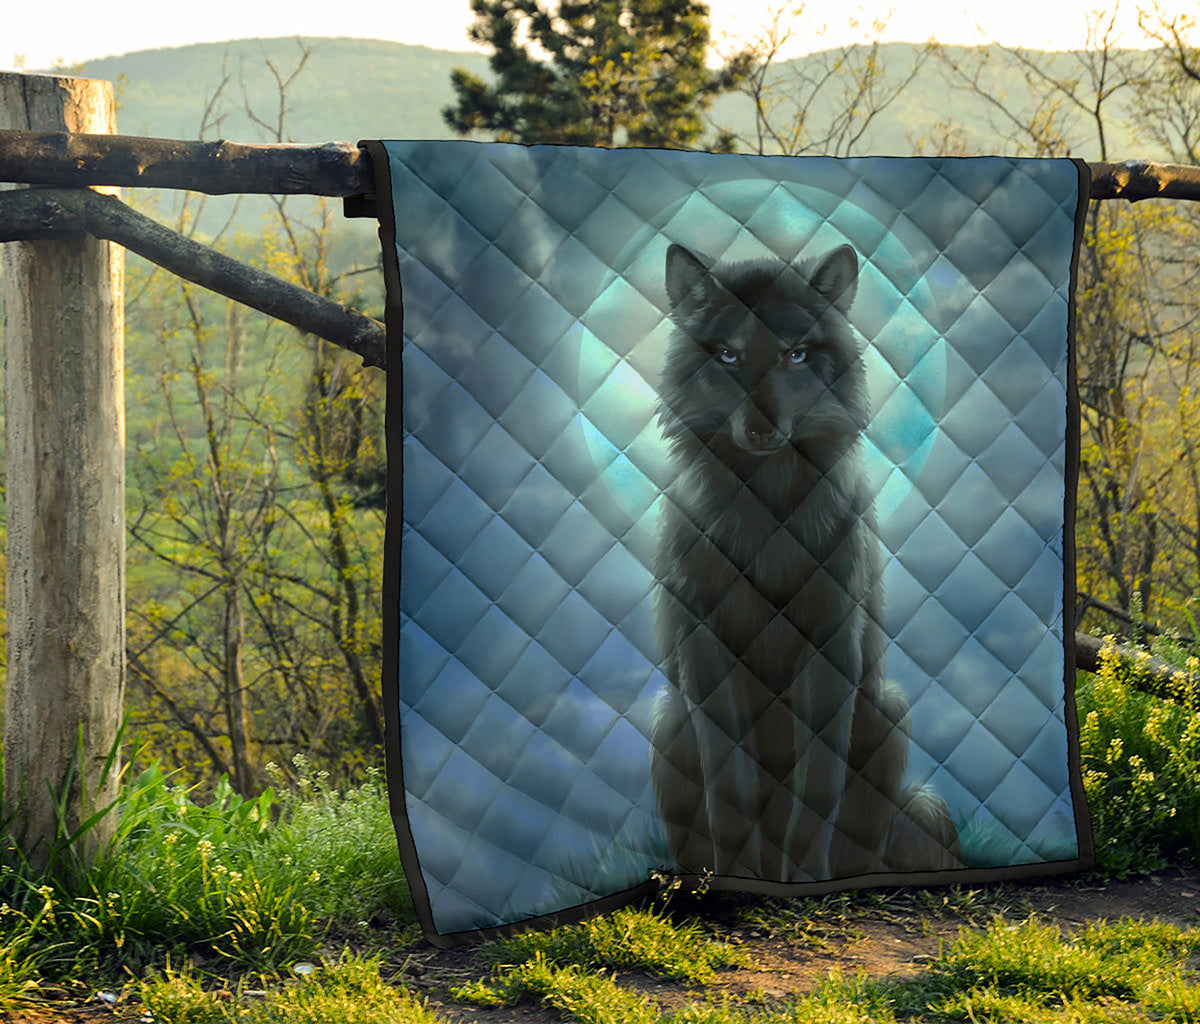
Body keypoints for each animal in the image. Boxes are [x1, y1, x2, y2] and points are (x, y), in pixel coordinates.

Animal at [649, 242, 960, 882]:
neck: (766, 515)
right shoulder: (708, 654)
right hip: (669, 721)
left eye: (794, 354)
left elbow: (817, 785)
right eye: (728, 354)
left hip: (888, 712)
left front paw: (808, 884)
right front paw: (742, 881)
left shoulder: (829, 647)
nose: (762, 428)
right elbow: (731, 785)